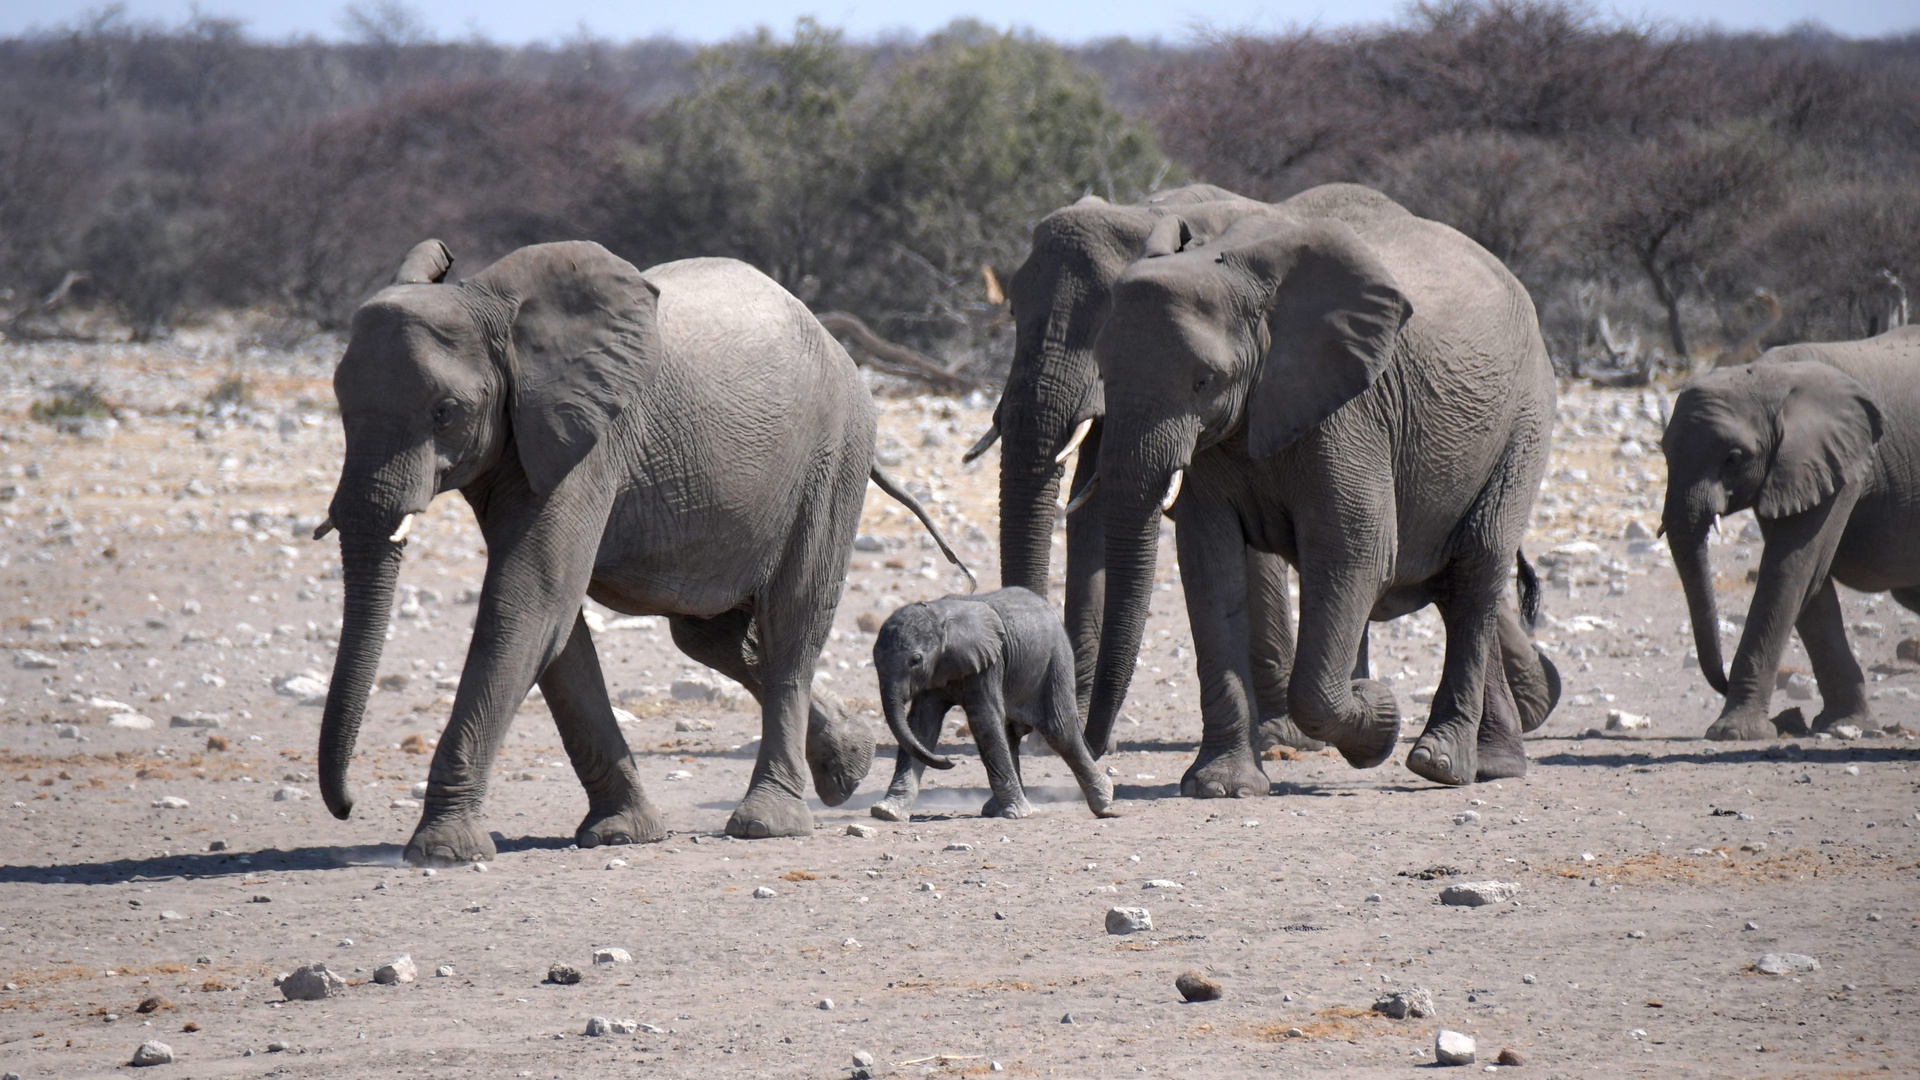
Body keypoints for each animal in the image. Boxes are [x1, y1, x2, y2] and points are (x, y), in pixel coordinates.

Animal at [316, 239, 967, 860]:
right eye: (340, 407)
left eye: (444, 412)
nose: (346, 808)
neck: (490, 304)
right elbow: (556, 625)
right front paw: (622, 835)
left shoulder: (591, 441)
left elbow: (527, 601)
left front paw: (440, 851)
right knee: (709, 636)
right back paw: (847, 766)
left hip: (833, 458)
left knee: (791, 623)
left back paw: (768, 825)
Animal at [867, 588, 1121, 814]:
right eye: (874, 658)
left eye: (916, 660)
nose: (949, 761)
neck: (940, 616)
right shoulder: (935, 673)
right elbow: (921, 727)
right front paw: (887, 811)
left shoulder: (989, 662)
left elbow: (984, 721)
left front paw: (1016, 813)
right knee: (1010, 736)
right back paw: (996, 808)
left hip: (1055, 659)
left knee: (1059, 731)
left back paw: (1104, 802)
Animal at [1082, 195, 1559, 780]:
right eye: (1103, 372)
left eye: (1203, 381)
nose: (1095, 750)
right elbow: (1208, 560)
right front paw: (1220, 785)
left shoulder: (1350, 412)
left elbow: (1357, 548)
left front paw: (1378, 716)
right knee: (1459, 584)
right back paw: (1491, 765)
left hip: (1526, 417)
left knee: (1478, 567)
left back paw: (1439, 763)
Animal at [1658, 322, 1920, 734]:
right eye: (1663, 452)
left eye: (1733, 458)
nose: (1721, 681)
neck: (1772, 376)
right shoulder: (1796, 469)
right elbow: (1810, 585)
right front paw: (1844, 723)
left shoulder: (1841, 462)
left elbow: (1789, 571)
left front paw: (1733, 732)